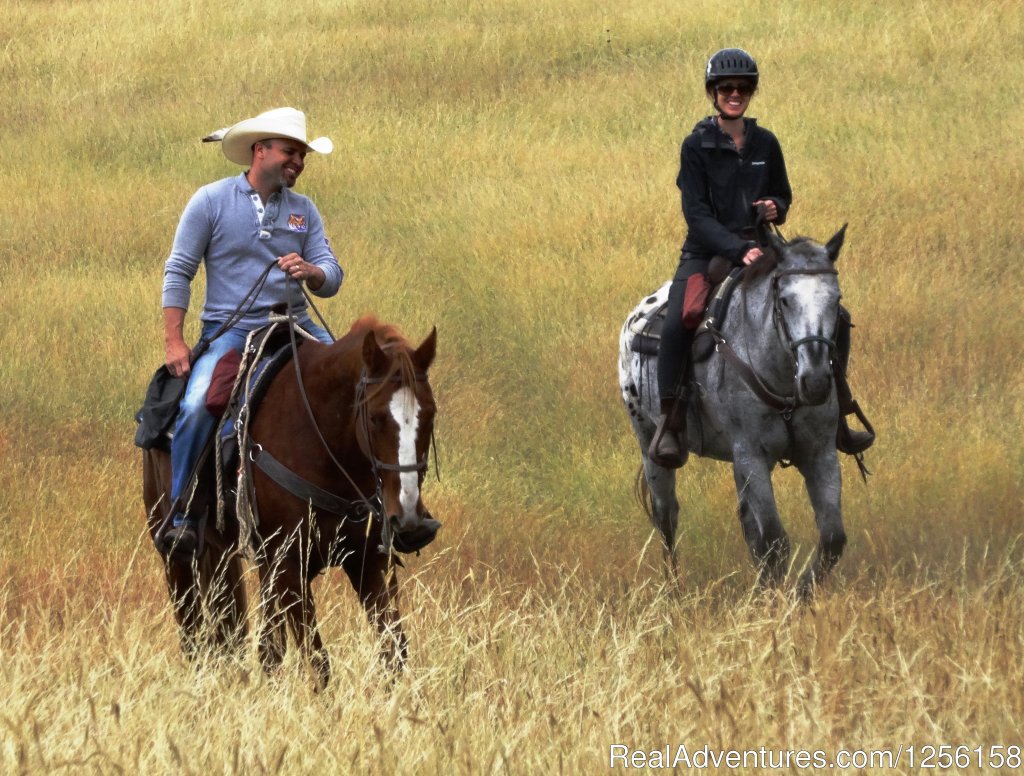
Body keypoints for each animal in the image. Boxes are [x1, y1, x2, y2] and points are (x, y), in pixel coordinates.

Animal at [140, 315, 436, 687]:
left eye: (431, 414)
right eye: (374, 416)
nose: (408, 519)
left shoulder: (369, 560)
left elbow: (394, 651)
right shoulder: (289, 565)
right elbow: (319, 662)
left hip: (231, 557)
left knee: (262, 647)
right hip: (176, 555)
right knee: (192, 632)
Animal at [618, 226, 851, 601]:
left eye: (836, 299)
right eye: (785, 300)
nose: (815, 382)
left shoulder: (820, 454)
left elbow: (831, 538)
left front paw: (798, 596)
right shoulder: (751, 454)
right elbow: (774, 540)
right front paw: (772, 600)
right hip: (649, 443)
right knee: (666, 516)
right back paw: (675, 591)